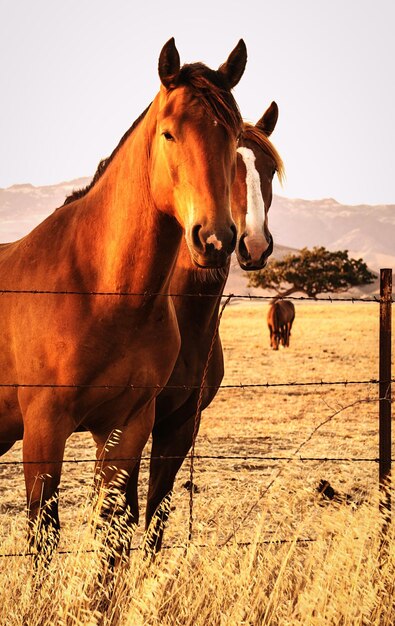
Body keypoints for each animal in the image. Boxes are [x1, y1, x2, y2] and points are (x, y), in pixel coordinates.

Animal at [0, 39, 248, 556]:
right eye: (169, 134)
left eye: (235, 136)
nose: (214, 240)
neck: (102, 293)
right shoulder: (44, 429)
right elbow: (44, 536)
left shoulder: (128, 427)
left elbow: (113, 534)